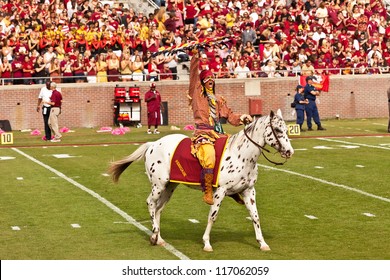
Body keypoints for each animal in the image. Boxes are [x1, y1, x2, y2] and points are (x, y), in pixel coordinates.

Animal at [109, 109, 292, 252]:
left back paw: (158, 237)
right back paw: (154, 233)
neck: (241, 156)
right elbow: (213, 216)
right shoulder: (220, 192)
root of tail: (152, 144)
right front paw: (206, 243)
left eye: (285, 129)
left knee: (158, 209)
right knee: (150, 203)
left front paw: (262, 243)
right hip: (158, 185)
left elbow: (255, 216)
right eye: (277, 129)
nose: (290, 151)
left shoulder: (249, 191)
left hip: (170, 187)